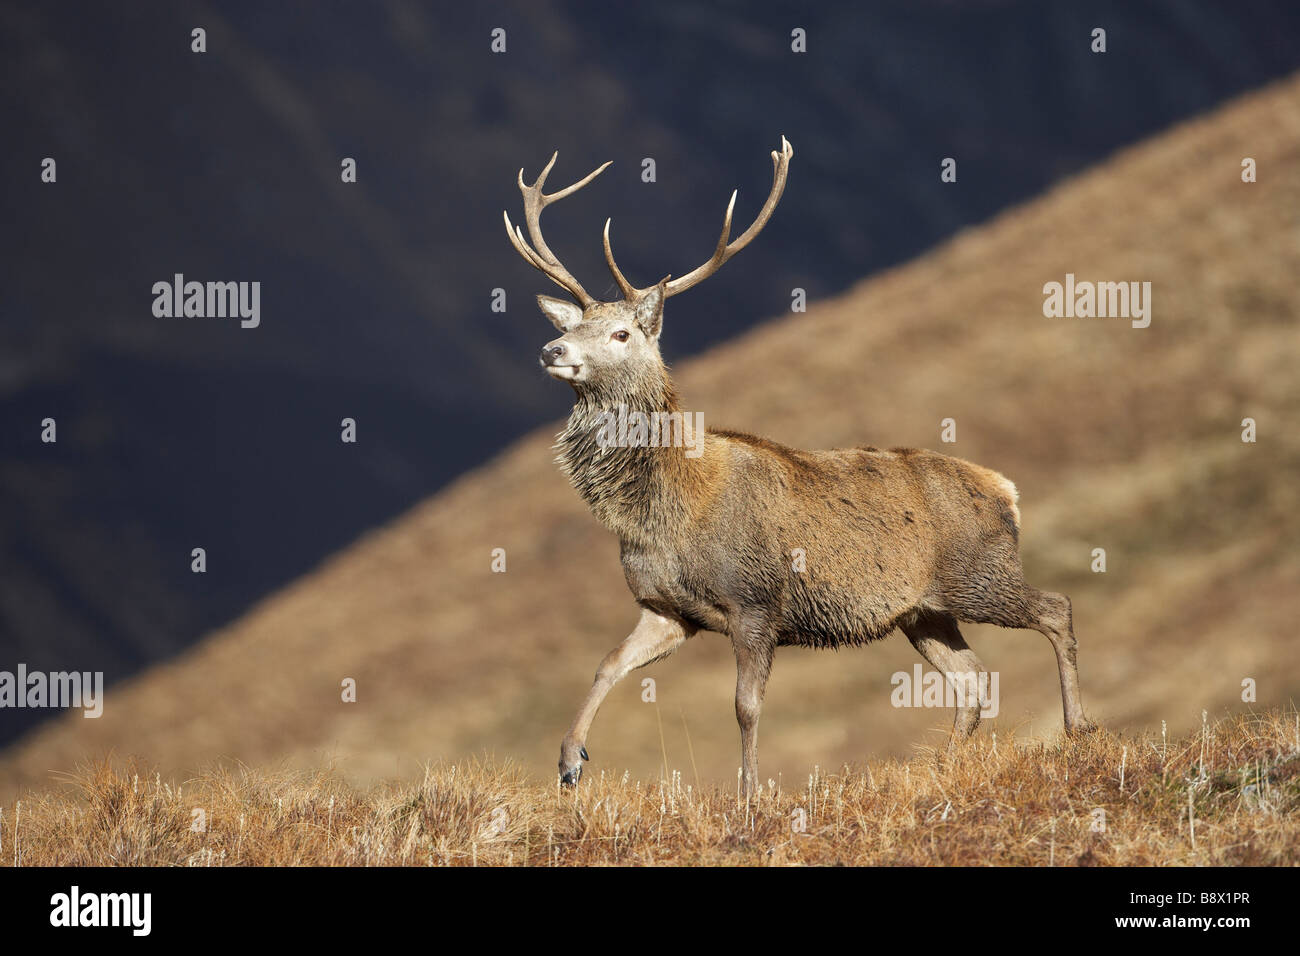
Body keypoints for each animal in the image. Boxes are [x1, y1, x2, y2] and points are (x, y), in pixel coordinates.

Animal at [501, 134, 1092, 790]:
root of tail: (1007, 489)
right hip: (924, 611)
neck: (661, 513)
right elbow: (606, 664)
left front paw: (749, 791)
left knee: (1055, 609)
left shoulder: (756, 602)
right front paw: (569, 761)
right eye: (577, 322)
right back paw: (942, 764)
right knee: (974, 680)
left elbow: (745, 705)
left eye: (623, 333)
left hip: (980, 576)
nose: (552, 349)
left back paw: (1078, 727)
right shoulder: (664, 609)